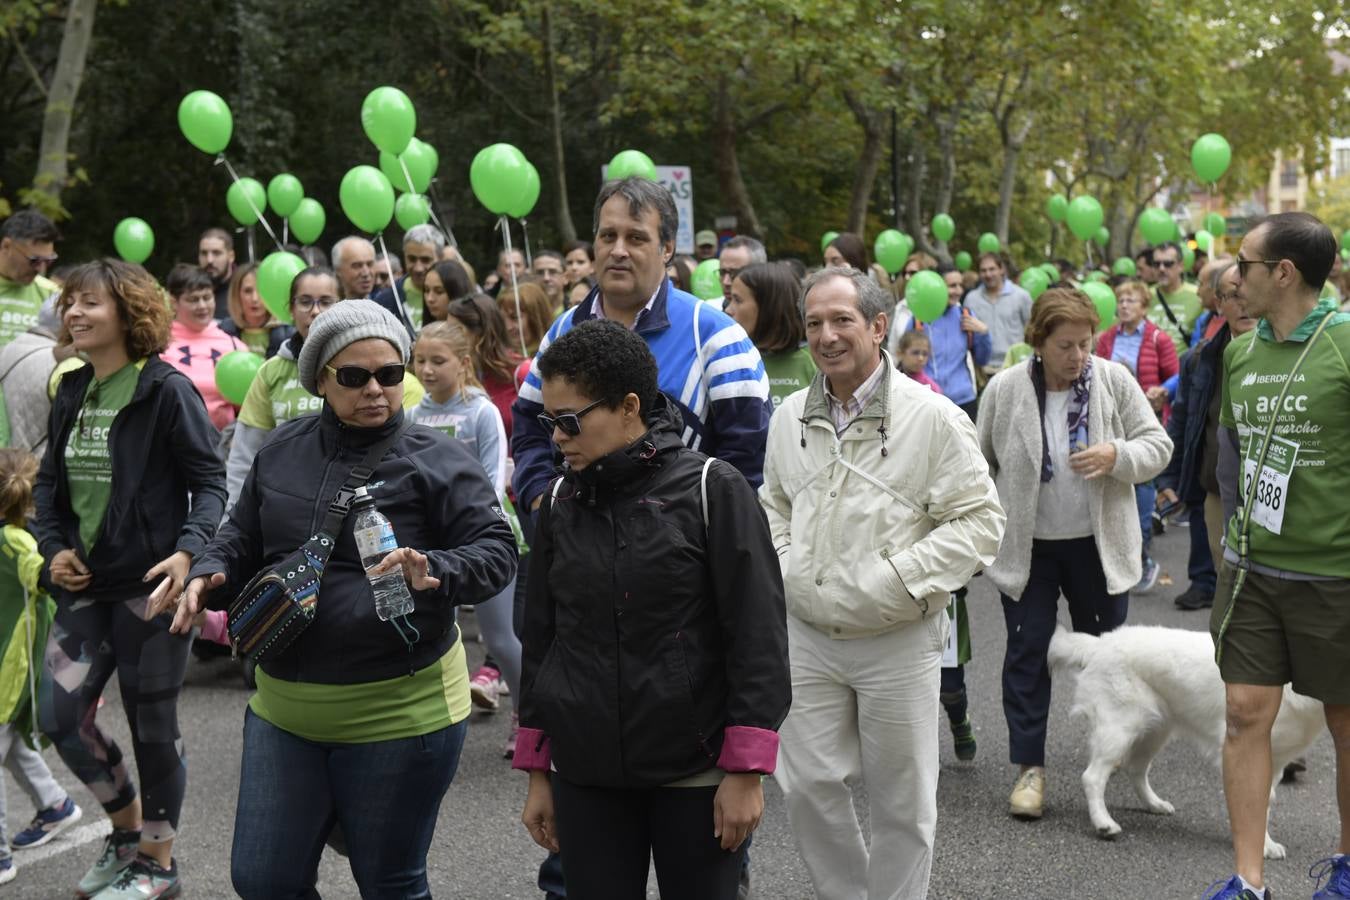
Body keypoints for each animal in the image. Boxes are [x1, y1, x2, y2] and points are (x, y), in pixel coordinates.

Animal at [1047, 623, 1323, 858]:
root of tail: (1100, 643)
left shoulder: (1275, 762)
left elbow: (1263, 803)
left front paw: (1265, 844)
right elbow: (1255, 804)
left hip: (1154, 732)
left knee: (1135, 769)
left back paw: (1154, 804)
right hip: (1119, 730)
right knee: (1092, 777)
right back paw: (1104, 824)